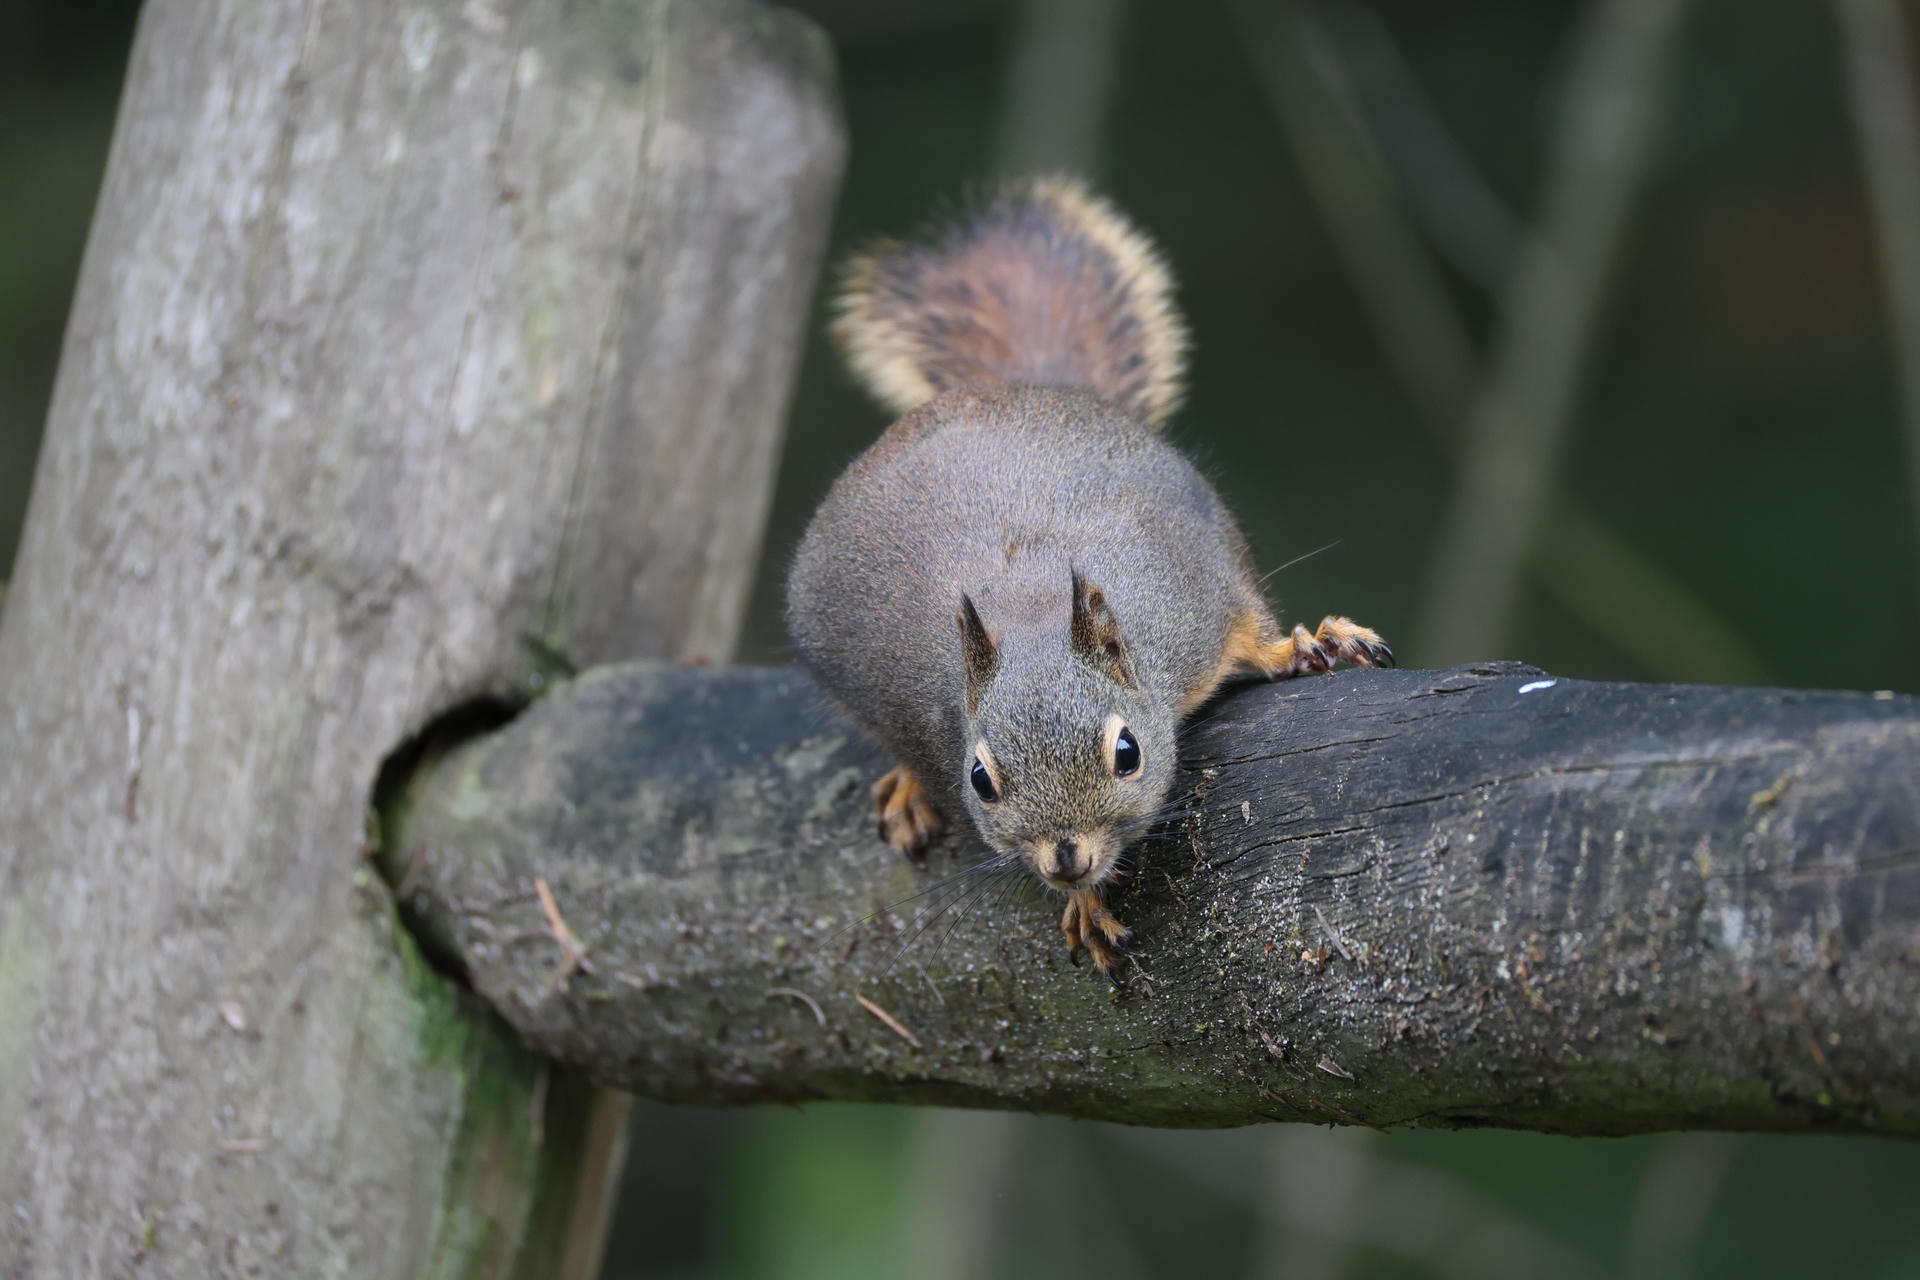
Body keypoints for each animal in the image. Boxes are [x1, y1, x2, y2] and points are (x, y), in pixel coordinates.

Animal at [786, 176, 1392, 982]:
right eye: (980, 780)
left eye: (1127, 753)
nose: (1067, 856)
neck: (1033, 612)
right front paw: (1085, 902)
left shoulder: (1192, 589)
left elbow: (1250, 627)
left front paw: (1303, 644)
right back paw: (909, 788)